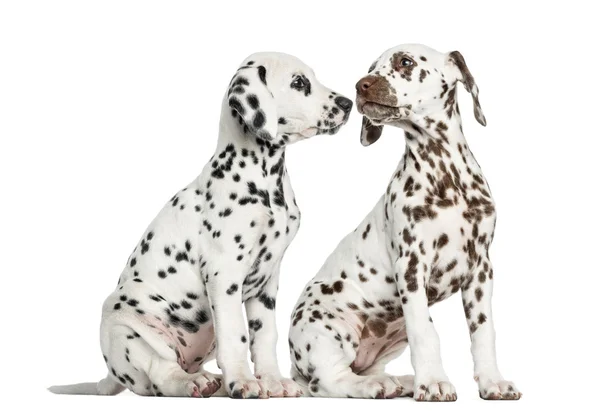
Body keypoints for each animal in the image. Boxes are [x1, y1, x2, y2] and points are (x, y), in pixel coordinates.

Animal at [51, 51, 354, 400]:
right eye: (299, 82)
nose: (348, 103)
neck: (265, 180)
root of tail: (110, 376)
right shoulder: (224, 274)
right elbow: (236, 335)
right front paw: (244, 382)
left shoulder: (268, 281)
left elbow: (264, 337)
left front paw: (272, 380)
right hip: (122, 321)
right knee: (162, 374)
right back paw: (194, 383)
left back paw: (213, 380)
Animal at [288, 45, 520, 402]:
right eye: (371, 67)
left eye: (405, 62)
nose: (360, 85)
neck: (446, 175)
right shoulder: (411, 266)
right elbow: (426, 333)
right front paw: (435, 383)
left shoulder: (481, 270)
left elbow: (483, 331)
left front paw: (492, 381)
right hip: (328, 328)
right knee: (330, 381)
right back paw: (375, 386)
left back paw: (402, 382)